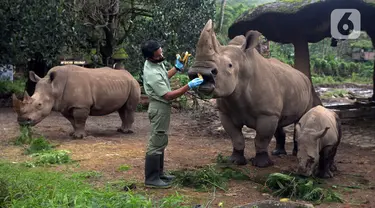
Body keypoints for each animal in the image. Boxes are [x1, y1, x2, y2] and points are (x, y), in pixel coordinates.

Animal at [12, 65, 141, 138]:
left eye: (39, 105)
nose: (22, 121)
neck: (55, 87)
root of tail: (130, 74)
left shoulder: (80, 105)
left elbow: (79, 120)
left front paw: (79, 137)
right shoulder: (65, 105)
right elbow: (72, 121)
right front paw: (73, 134)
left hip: (134, 84)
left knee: (129, 108)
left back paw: (127, 132)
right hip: (123, 84)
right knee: (122, 109)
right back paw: (121, 130)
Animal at [187, 19, 320, 168]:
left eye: (229, 65)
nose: (199, 72)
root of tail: (304, 77)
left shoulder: (266, 114)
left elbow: (261, 139)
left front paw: (261, 164)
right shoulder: (226, 112)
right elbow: (236, 138)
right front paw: (235, 161)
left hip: (308, 92)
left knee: (301, 119)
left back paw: (295, 154)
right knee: (279, 121)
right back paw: (278, 153)